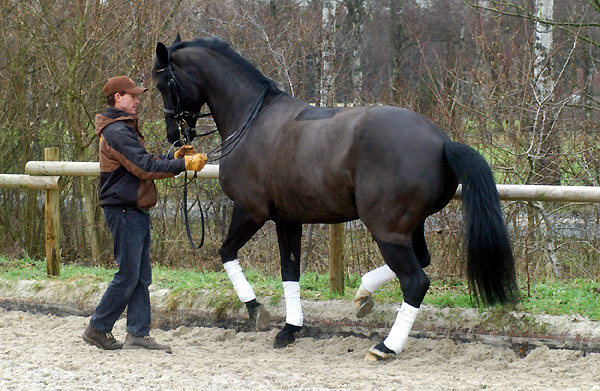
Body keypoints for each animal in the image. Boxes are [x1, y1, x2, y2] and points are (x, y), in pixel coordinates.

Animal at [152, 36, 516, 362]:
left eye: (162, 82)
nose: (173, 136)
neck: (252, 121)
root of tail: (441, 141)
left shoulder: (251, 211)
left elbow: (226, 252)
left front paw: (256, 310)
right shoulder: (288, 219)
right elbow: (290, 271)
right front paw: (290, 329)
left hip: (387, 230)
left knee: (416, 281)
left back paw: (386, 347)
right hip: (410, 227)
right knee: (423, 260)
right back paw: (364, 295)